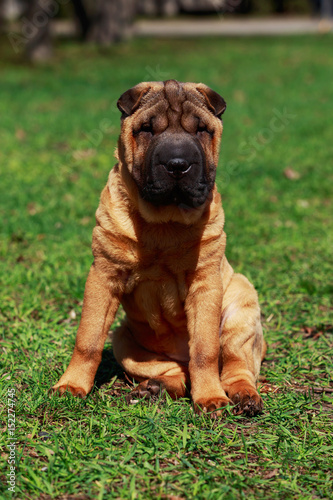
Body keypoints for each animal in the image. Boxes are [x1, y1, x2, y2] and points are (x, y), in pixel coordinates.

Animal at [51, 80, 264, 416]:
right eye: (147, 129)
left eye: (201, 129)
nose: (177, 164)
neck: (163, 222)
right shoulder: (104, 275)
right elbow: (87, 339)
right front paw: (71, 386)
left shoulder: (205, 283)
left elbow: (204, 349)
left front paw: (210, 399)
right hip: (123, 339)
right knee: (175, 373)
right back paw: (155, 388)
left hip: (241, 308)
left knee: (235, 364)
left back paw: (244, 396)